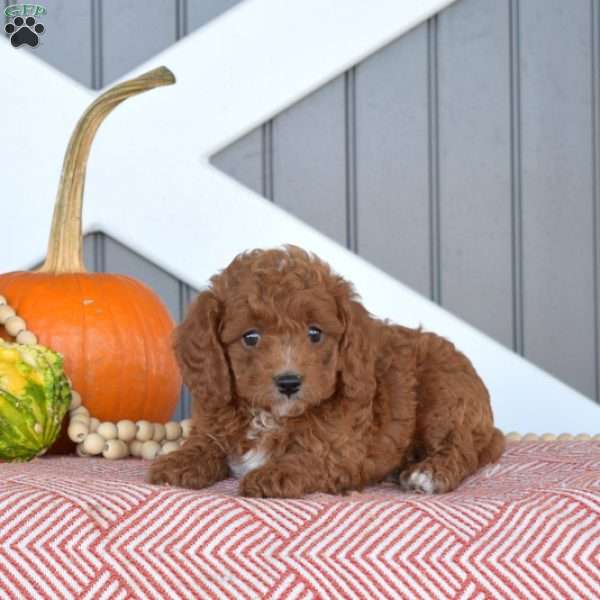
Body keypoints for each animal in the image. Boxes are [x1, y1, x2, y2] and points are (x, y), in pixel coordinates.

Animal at [148, 245, 504, 496]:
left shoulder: (341, 449)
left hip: (443, 398)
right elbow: (203, 444)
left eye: (315, 333)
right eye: (250, 337)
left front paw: (272, 474)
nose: (289, 382)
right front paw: (175, 463)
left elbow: (310, 459)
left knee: (462, 448)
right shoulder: (213, 418)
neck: (270, 416)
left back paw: (428, 473)